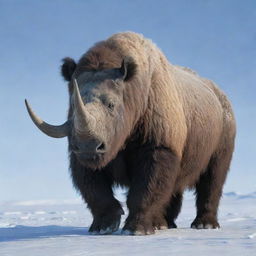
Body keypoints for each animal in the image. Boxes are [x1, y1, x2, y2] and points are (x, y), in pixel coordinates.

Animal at [26, 32, 236, 236]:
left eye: (111, 104)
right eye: (72, 104)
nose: (88, 147)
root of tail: (221, 97)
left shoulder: (159, 148)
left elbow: (146, 188)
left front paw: (136, 229)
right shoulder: (79, 157)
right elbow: (94, 191)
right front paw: (103, 227)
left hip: (222, 146)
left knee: (212, 182)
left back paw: (204, 225)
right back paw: (165, 224)